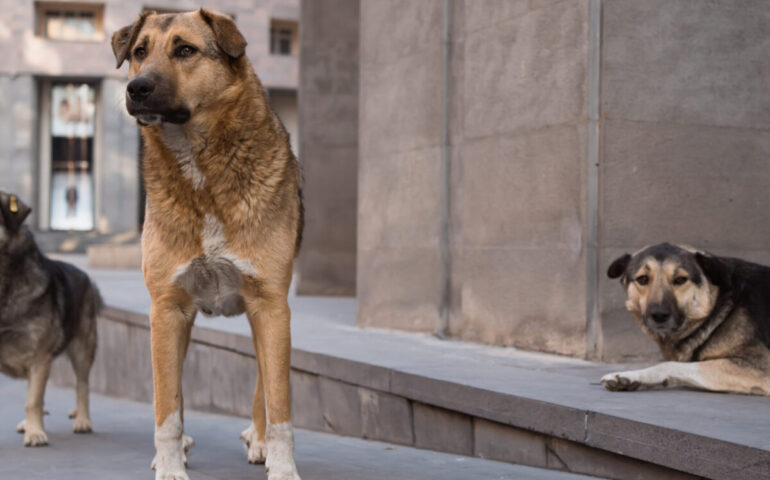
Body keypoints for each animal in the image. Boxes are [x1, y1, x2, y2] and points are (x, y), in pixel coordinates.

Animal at [0, 189, 102, 444]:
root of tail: (87, 277)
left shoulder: (40, 357)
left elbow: (33, 401)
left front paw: (36, 433)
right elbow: (34, 399)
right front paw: (32, 428)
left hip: (82, 348)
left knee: (82, 385)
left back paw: (82, 420)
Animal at [600, 242, 768, 396]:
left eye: (680, 280)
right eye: (643, 279)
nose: (659, 315)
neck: (719, 307)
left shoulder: (760, 366)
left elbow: (670, 365)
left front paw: (633, 375)